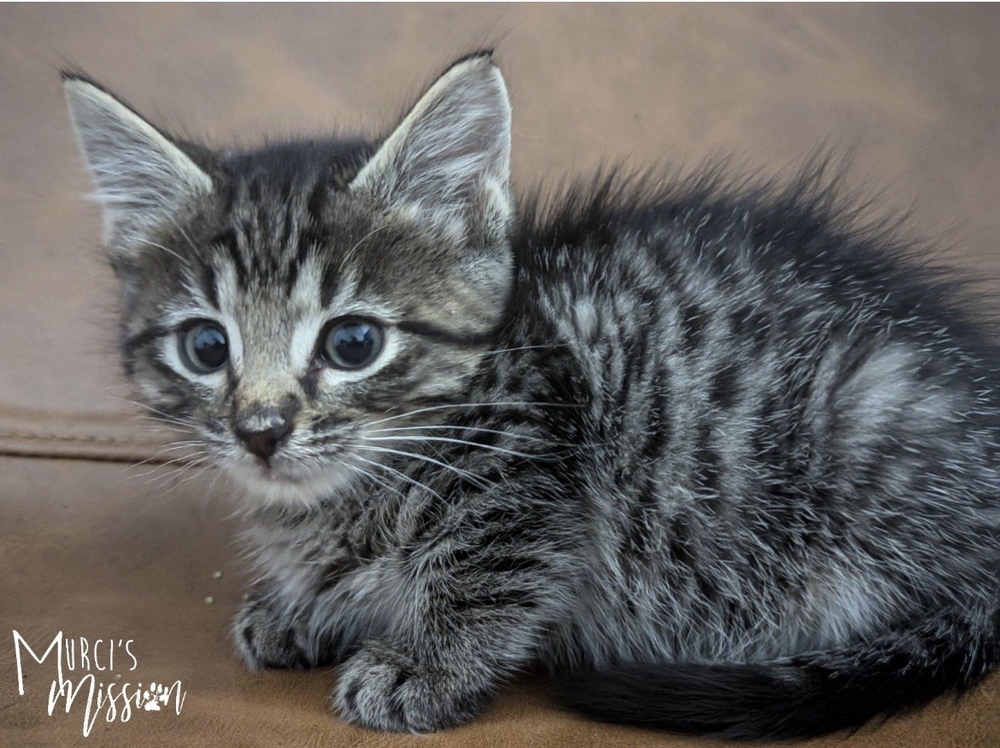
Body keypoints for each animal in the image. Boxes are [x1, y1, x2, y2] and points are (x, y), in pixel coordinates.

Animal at [64, 51, 1000, 736]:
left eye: (353, 343)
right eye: (205, 346)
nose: (261, 429)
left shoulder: (540, 467)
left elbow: (489, 570)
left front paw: (426, 664)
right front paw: (303, 604)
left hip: (865, 423)